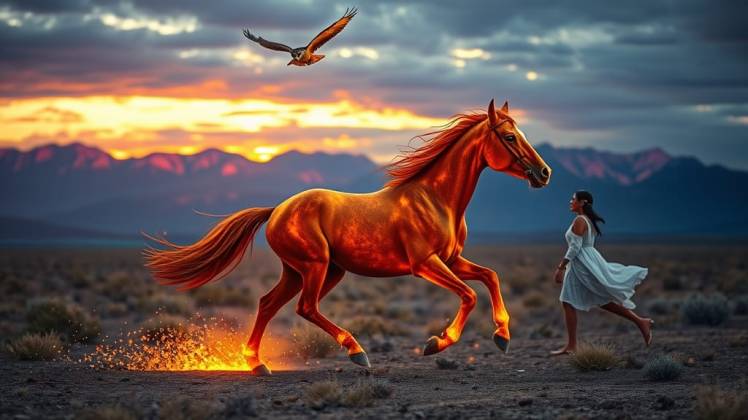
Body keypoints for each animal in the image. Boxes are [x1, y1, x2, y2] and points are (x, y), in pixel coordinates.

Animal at [143, 99, 552, 375]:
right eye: (510, 136)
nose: (544, 173)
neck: (436, 199)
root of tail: (276, 210)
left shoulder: (452, 260)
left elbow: (490, 277)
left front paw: (502, 336)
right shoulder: (425, 264)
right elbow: (469, 295)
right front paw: (435, 344)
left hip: (312, 271)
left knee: (269, 304)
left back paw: (257, 364)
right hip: (316, 266)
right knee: (304, 307)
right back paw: (357, 352)